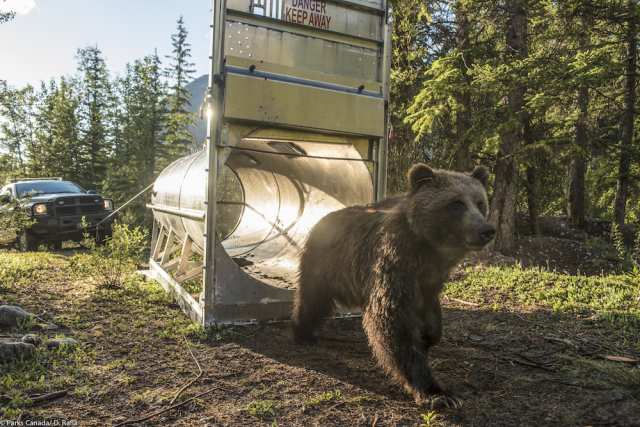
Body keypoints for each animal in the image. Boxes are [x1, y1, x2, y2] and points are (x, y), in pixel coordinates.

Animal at [290, 163, 496, 408]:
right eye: (456, 203)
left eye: (480, 203)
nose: (486, 230)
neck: (428, 249)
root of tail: (322, 217)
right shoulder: (395, 264)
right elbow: (393, 323)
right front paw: (437, 393)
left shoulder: (430, 280)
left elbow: (431, 317)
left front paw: (427, 336)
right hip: (325, 263)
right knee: (312, 299)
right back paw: (303, 332)